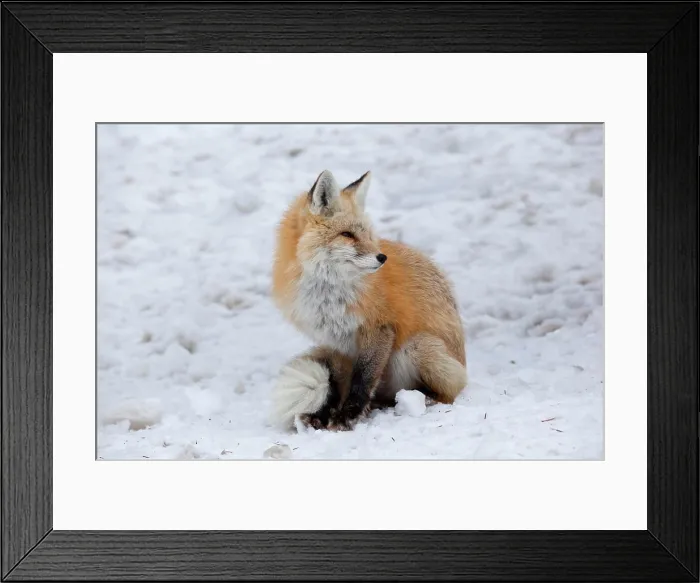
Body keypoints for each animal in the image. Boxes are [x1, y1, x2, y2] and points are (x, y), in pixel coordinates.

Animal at [271, 169, 467, 430]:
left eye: (368, 235)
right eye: (347, 234)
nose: (382, 257)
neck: (329, 295)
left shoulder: (379, 327)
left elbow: (363, 378)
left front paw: (348, 416)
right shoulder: (334, 342)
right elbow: (339, 382)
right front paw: (326, 414)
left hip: (418, 346)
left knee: (449, 394)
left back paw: (421, 400)